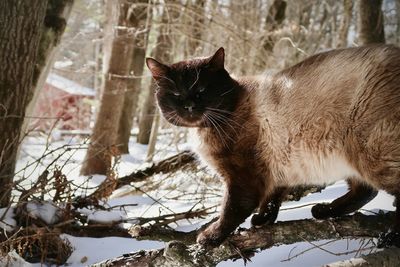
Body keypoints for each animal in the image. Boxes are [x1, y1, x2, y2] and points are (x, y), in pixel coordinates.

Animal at [145, 45, 400, 248]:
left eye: (202, 91)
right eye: (176, 94)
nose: (188, 107)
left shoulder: (243, 178)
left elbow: (230, 211)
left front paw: (210, 237)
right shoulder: (277, 170)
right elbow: (271, 201)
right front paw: (262, 221)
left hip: (369, 154)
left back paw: (389, 237)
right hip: (350, 159)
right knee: (364, 191)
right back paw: (322, 211)